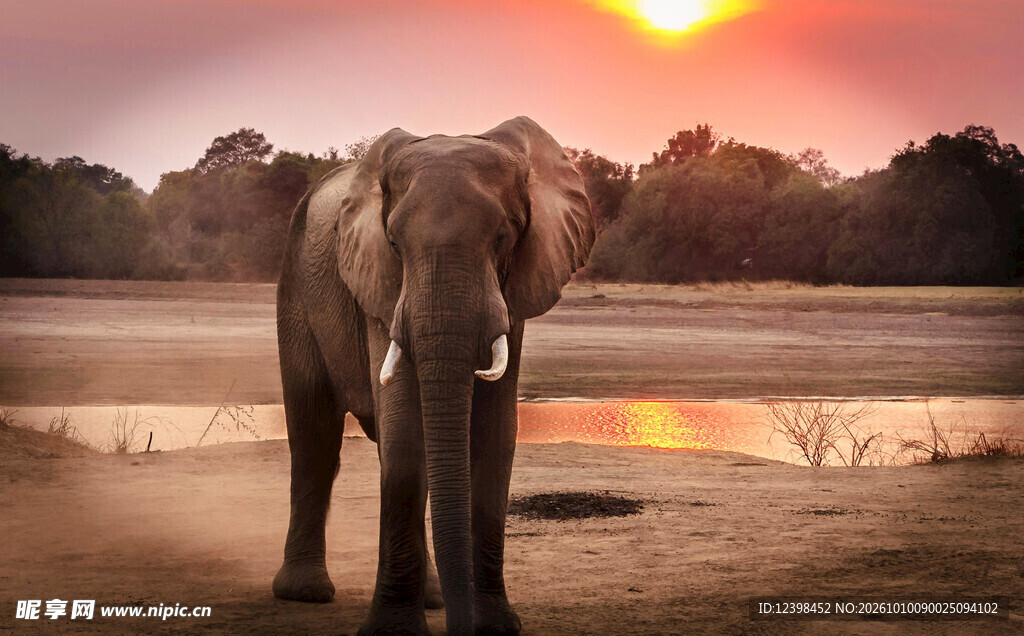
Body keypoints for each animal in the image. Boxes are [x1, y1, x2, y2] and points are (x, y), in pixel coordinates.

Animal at [271, 116, 595, 635]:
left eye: (504, 238)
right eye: (394, 244)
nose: (466, 628)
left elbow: (494, 435)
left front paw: (496, 626)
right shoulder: (380, 287)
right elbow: (405, 433)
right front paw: (393, 632)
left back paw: (434, 599)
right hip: (296, 286)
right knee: (314, 435)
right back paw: (306, 592)